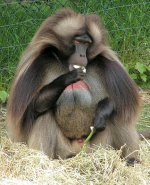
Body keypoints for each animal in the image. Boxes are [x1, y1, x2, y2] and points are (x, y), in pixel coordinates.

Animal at [7, 9, 148, 164]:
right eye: (78, 41)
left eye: (87, 43)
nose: (81, 55)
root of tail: (78, 149)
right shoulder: (37, 65)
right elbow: (31, 109)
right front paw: (67, 78)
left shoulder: (107, 64)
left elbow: (120, 102)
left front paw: (101, 115)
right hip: (64, 152)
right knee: (44, 115)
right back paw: (44, 160)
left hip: (96, 148)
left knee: (118, 114)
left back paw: (132, 160)